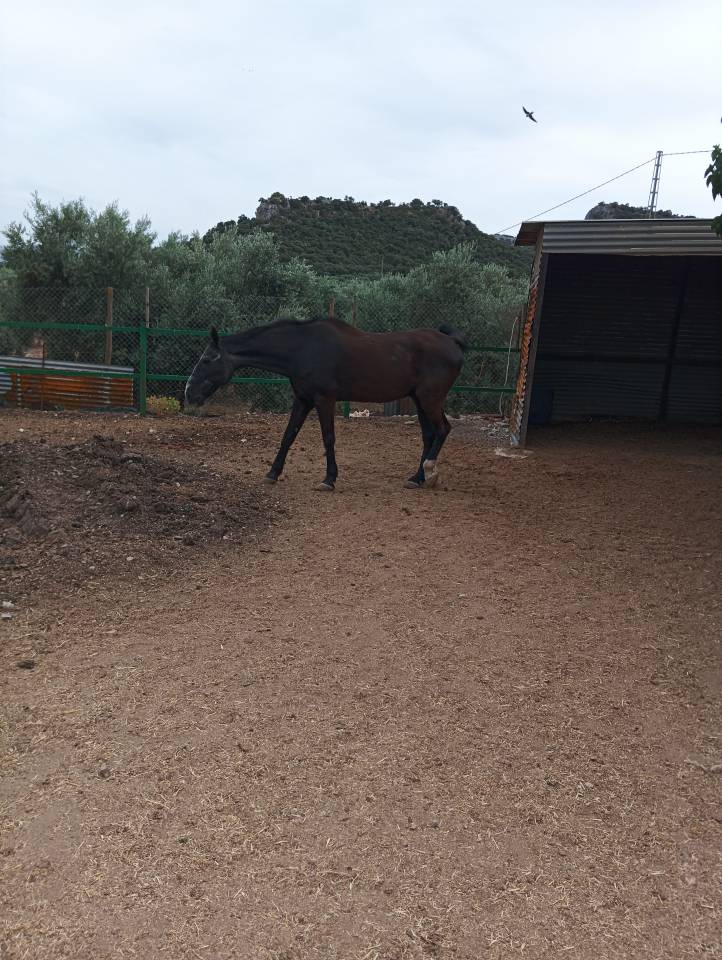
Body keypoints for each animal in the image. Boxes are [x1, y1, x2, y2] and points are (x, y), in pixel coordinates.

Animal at [184, 316, 467, 490]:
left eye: (207, 359)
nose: (188, 393)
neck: (303, 348)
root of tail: (450, 341)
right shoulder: (302, 400)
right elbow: (288, 436)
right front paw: (273, 473)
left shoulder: (324, 400)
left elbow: (328, 438)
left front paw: (329, 478)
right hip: (419, 400)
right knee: (429, 436)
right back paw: (417, 477)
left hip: (430, 399)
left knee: (443, 430)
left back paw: (429, 471)